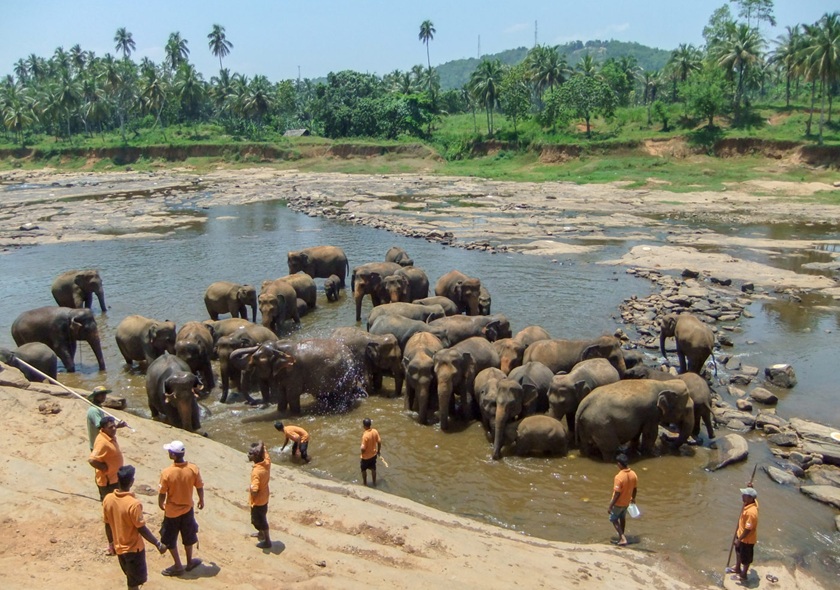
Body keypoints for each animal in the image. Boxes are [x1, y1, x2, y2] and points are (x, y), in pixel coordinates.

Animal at [232, 339, 363, 413]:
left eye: (255, 359)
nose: (252, 403)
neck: (280, 347)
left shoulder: (295, 372)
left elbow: (291, 396)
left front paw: (295, 414)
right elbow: (282, 397)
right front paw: (281, 412)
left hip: (345, 376)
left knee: (343, 395)